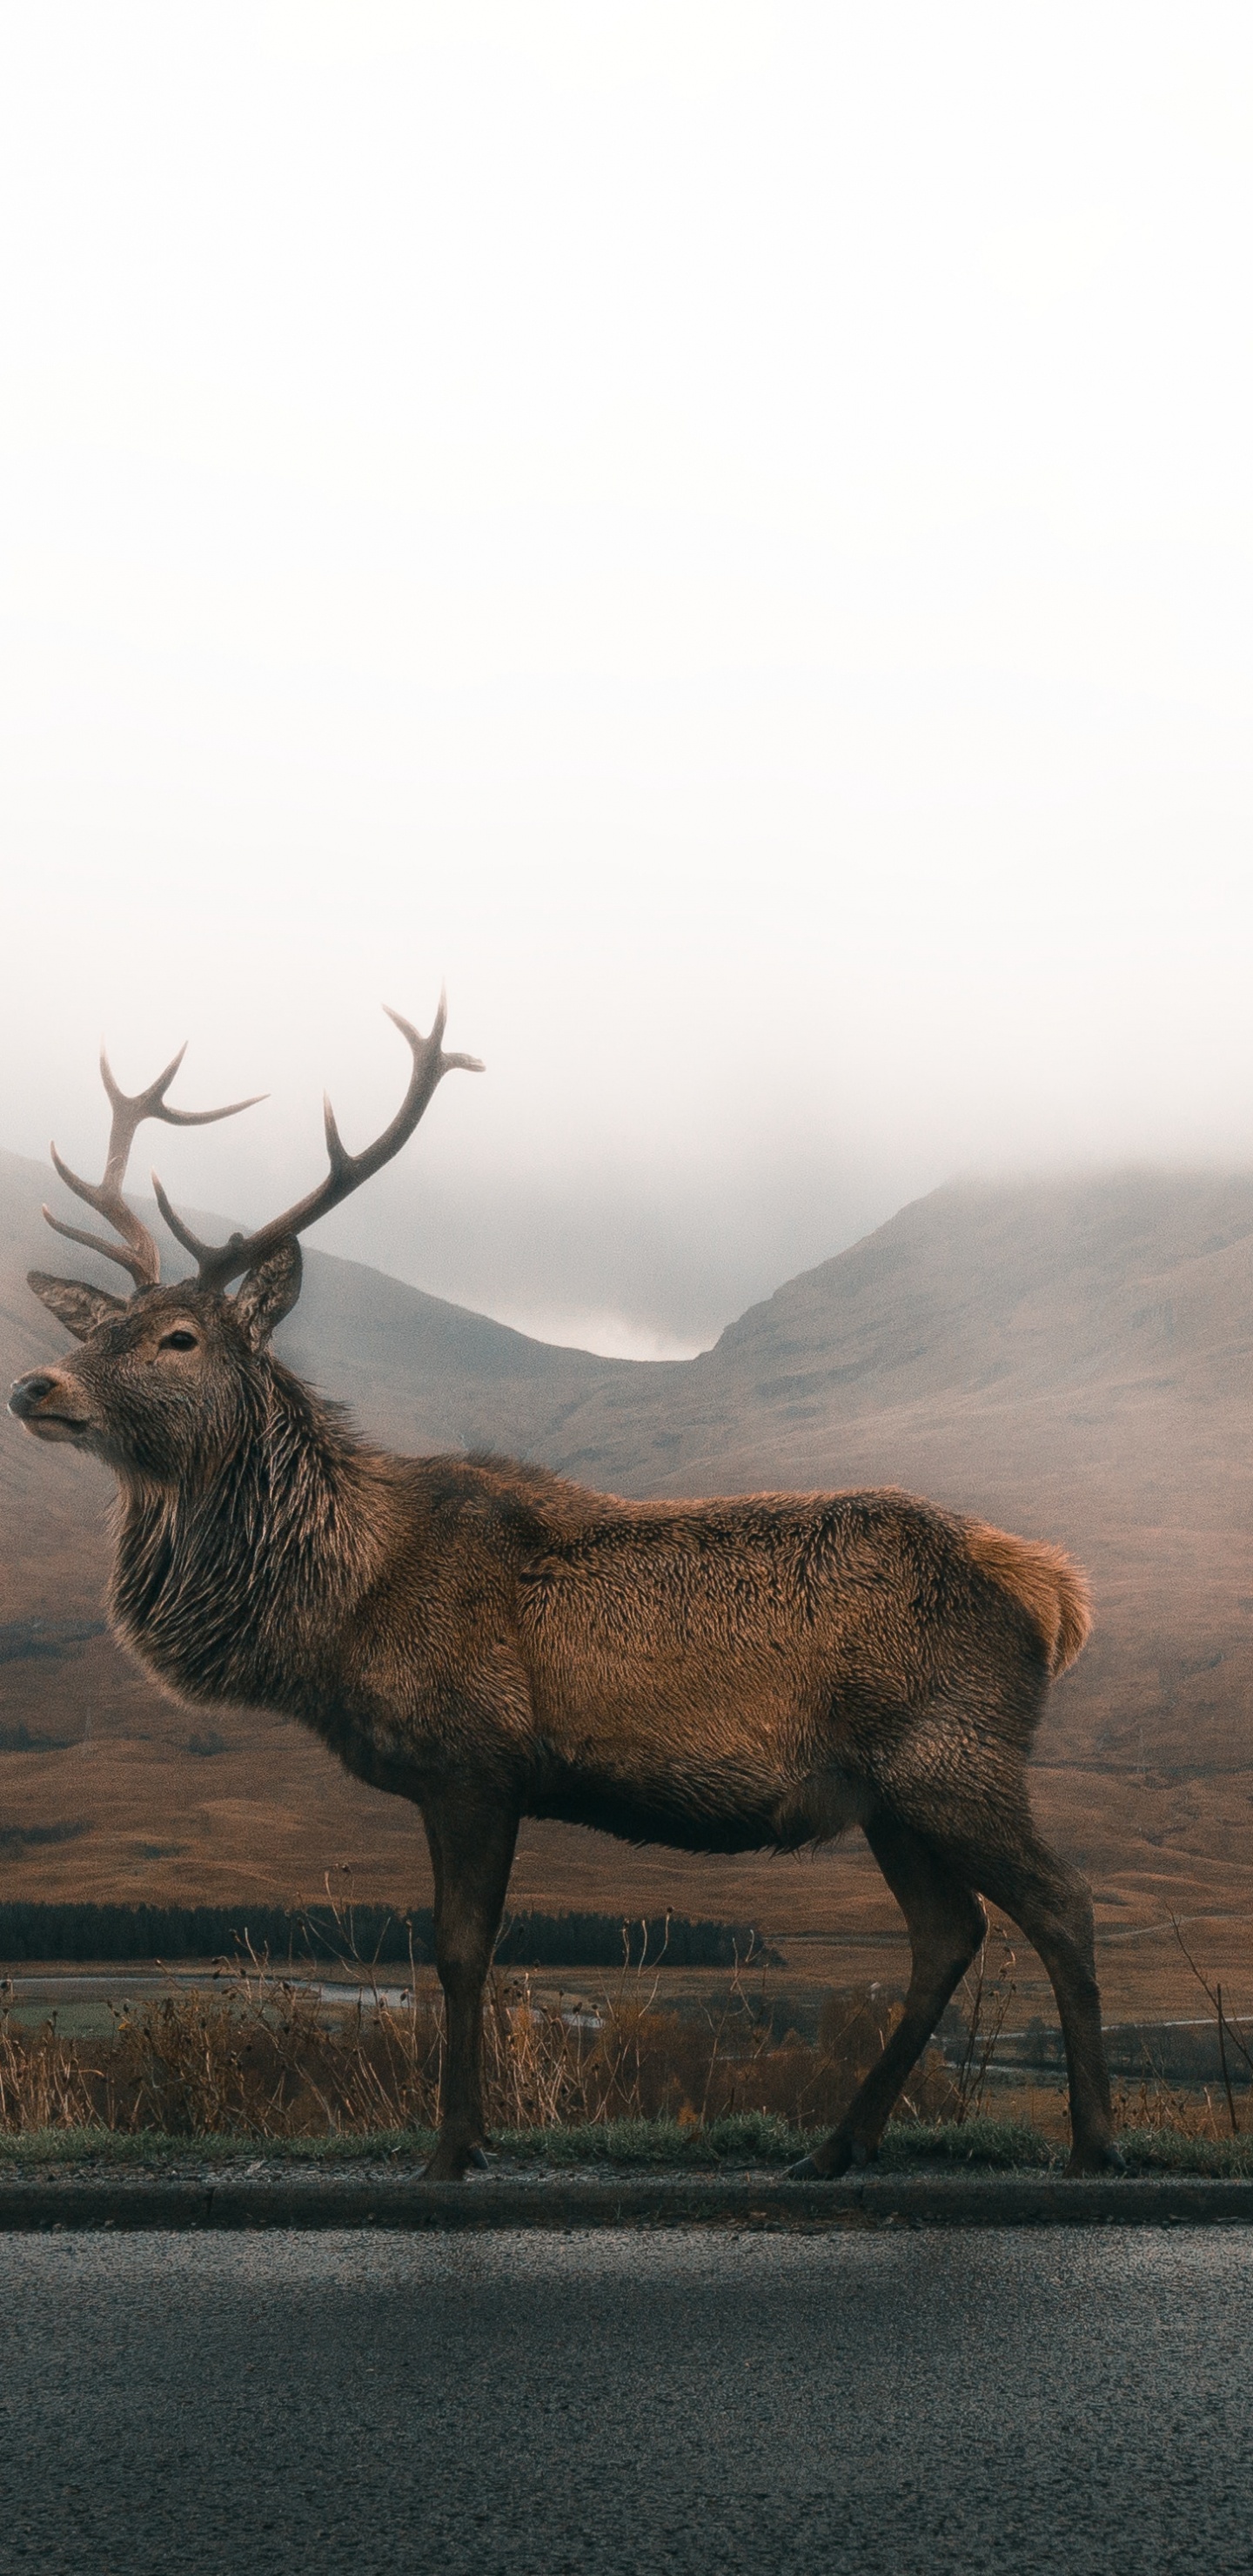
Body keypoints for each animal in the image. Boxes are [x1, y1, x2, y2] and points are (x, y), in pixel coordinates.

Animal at [8, 1003, 1122, 2179]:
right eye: (94, 1328)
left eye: (178, 1337)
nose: (36, 1383)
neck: (337, 1611)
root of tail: (1053, 1592)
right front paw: (474, 2131)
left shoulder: (477, 1758)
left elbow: (460, 1954)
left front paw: (452, 2146)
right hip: (886, 1792)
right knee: (950, 1932)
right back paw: (834, 2145)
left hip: (955, 1755)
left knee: (1061, 1900)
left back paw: (1092, 2139)